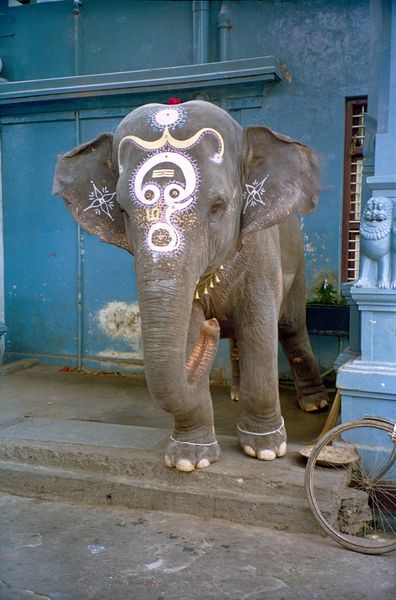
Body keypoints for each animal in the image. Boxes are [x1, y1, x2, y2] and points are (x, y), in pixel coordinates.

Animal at [52, 99, 328, 474]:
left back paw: (315, 404)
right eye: (122, 210)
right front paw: (189, 459)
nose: (211, 327)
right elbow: (186, 329)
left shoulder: (261, 255)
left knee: (290, 328)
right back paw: (235, 392)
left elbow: (259, 330)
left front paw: (266, 450)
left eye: (218, 206)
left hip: (297, 261)